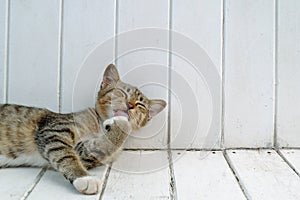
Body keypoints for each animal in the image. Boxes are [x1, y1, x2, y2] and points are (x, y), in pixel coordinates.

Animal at [0, 64, 166, 195]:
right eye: (122, 92)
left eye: (140, 105)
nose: (130, 105)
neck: (99, 125)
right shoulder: (53, 129)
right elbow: (66, 155)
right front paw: (84, 178)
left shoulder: (84, 151)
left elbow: (97, 149)